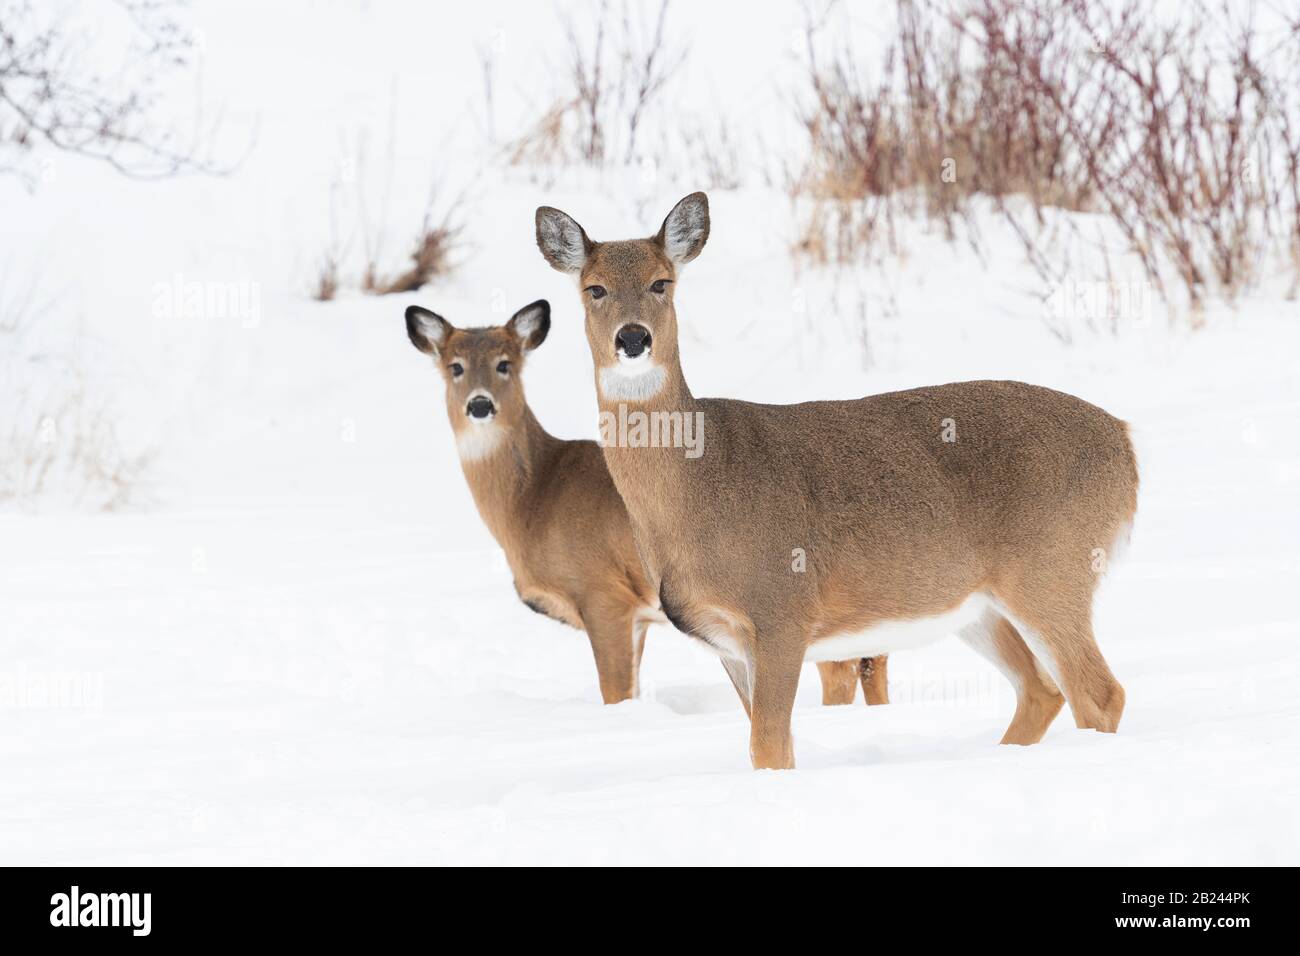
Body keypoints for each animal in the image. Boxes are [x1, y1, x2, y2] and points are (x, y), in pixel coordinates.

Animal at [405, 299, 894, 712]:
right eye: (454, 367)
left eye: (505, 364)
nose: (480, 405)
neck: (534, 501)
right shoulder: (638, 615)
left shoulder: (603, 593)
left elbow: (616, 692)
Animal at [535, 192, 1138, 770]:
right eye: (594, 289)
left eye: (662, 282)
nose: (633, 338)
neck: (698, 488)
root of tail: (1125, 443)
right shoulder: (727, 641)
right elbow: (769, 746)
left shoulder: (782, 610)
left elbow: (770, 747)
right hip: (979, 604)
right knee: (1042, 690)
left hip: (1053, 569)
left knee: (1099, 693)